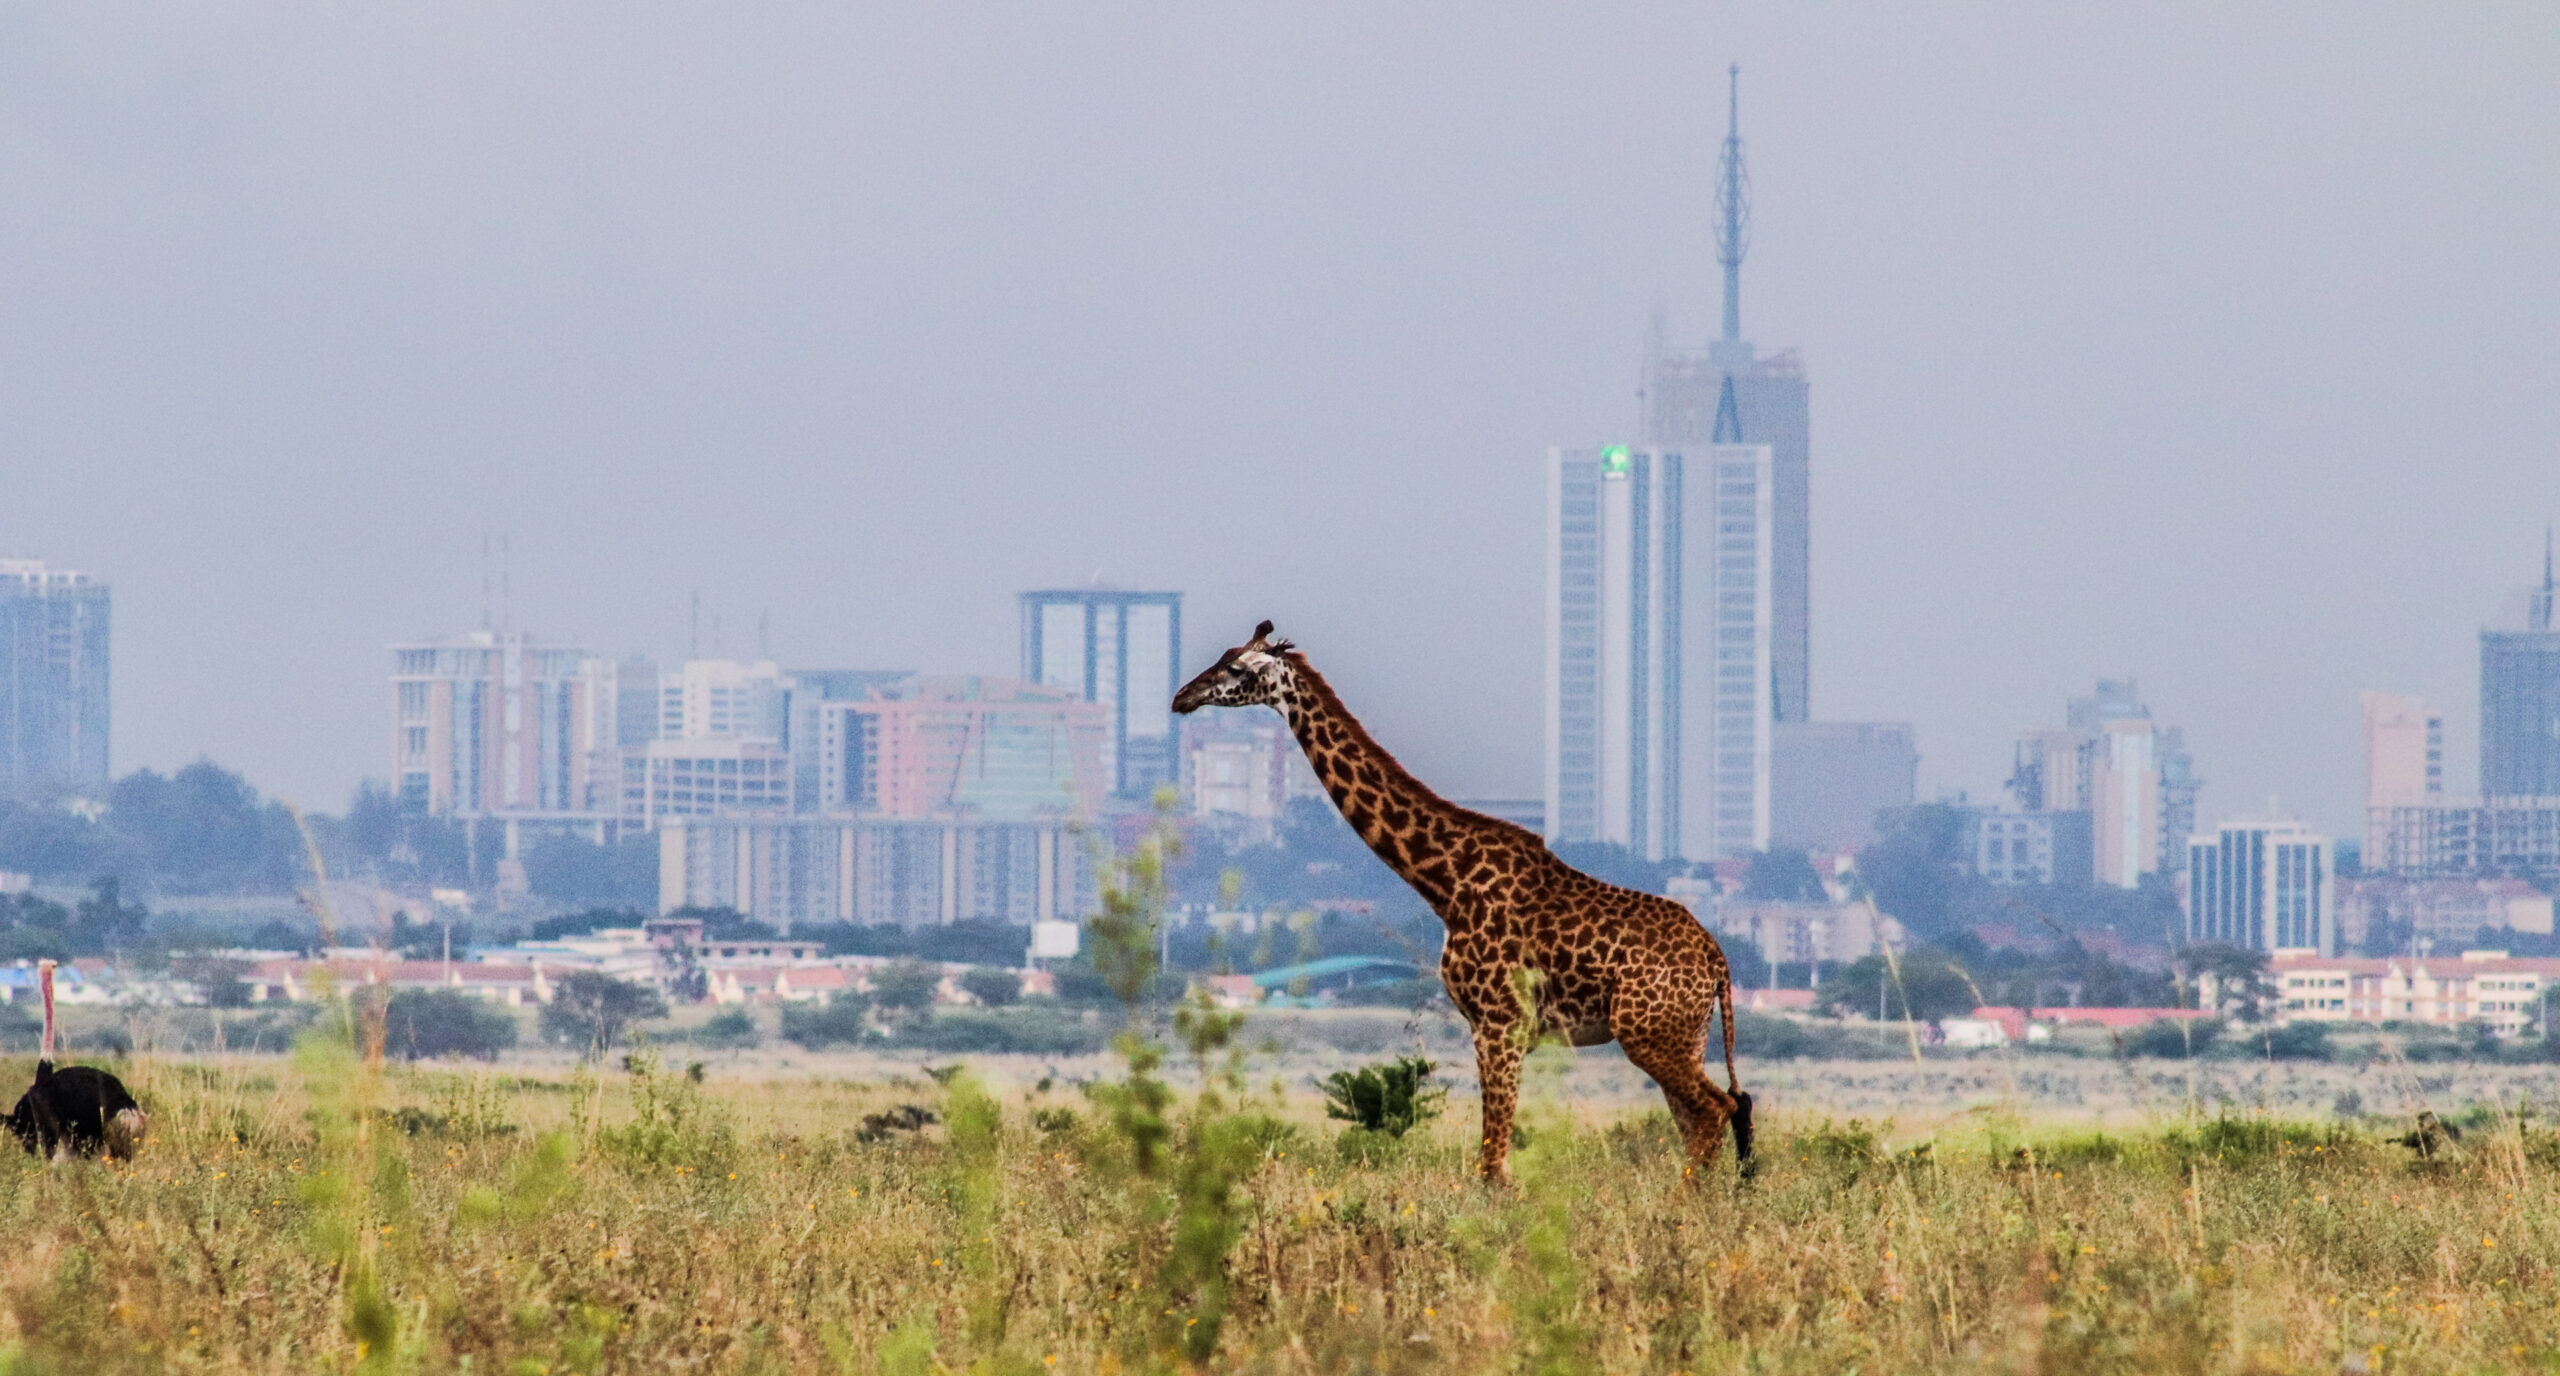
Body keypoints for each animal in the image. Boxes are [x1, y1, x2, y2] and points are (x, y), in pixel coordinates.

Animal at [1174, 621, 1752, 1184]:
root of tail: (1716, 960)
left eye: (1236, 667)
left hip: (1648, 1034)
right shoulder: (1491, 1027)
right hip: (1681, 1035)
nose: (1183, 697)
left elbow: (1492, 1165)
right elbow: (1495, 1162)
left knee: (1718, 1109)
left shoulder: (1500, 1024)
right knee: (1706, 1118)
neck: (1445, 882)